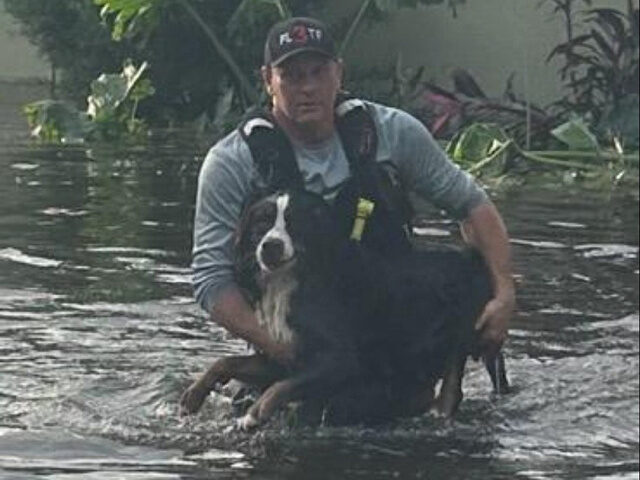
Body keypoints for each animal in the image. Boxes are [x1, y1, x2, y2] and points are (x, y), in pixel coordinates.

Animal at [181, 190, 510, 428]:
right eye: (261, 223)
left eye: (294, 224)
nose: (270, 246)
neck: (292, 280)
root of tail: (474, 258)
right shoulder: (282, 352)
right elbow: (225, 362)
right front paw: (194, 395)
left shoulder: (340, 359)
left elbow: (282, 387)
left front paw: (256, 413)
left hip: (459, 339)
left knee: (450, 392)